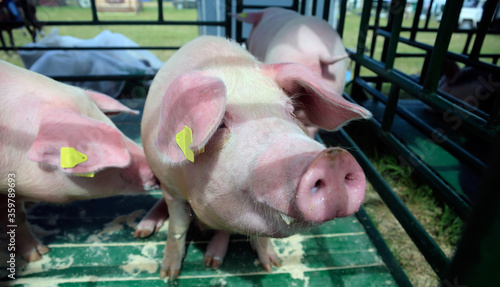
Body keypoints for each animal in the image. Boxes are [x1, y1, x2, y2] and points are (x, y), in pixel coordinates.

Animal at [139, 36, 374, 282]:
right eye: (220, 124)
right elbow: (178, 228)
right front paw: (167, 276)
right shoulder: (171, 188)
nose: (332, 159)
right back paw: (143, 231)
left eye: (291, 111)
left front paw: (272, 265)